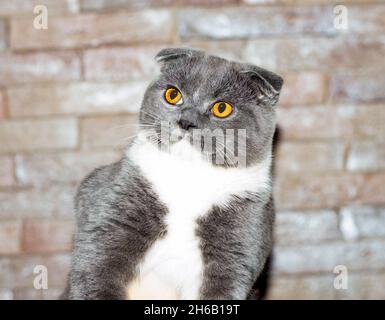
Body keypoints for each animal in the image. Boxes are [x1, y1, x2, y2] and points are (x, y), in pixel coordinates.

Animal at [62, 48, 282, 300]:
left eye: (222, 108)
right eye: (173, 94)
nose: (186, 121)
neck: (189, 177)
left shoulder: (243, 239)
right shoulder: (109, 210)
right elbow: (95, 271)